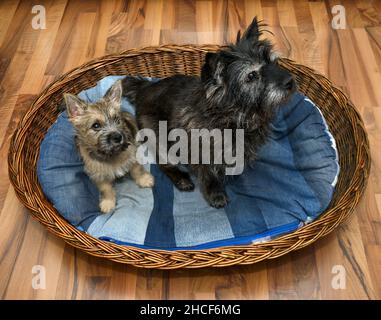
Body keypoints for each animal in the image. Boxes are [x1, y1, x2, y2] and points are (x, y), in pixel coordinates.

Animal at [123, 16, 296, 208]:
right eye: (251, 76)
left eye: (273, 62)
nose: (290, 82)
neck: (235, 119)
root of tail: (145, 88)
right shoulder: (200, 152)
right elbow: (209, 173)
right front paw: (215, 193)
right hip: (159, 138)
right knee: (164, 164)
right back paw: (181, 179)